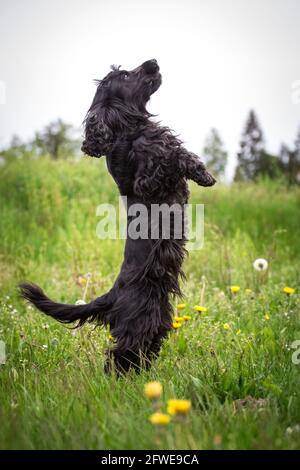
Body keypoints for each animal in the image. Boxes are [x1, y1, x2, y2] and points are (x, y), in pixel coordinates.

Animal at [19, 59, 216, 374]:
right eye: (124, 75)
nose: (153, 62)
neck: (128, 129)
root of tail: (112, 296)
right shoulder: (146, 179)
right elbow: (170, 155)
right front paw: (198, 170)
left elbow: (180, 153)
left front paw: (205, 174)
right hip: (137, 324)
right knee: (118, 357)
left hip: (157, 322)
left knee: (140, 354)